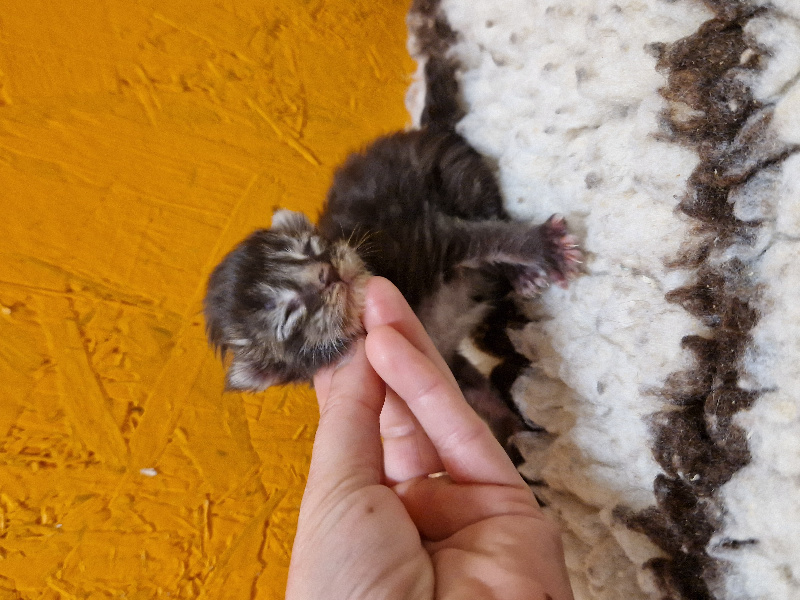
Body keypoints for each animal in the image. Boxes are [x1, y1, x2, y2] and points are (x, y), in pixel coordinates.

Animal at [205, 126, 580, 446]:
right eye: (291, 313)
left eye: (310, 249)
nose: (326, 272)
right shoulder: (443, 357)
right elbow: (475, 393)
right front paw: (508, 428)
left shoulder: (430, 237)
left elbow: (494, 237)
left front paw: (544, 247)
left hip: (457, 175)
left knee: (491, 214)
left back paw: (520, 273)